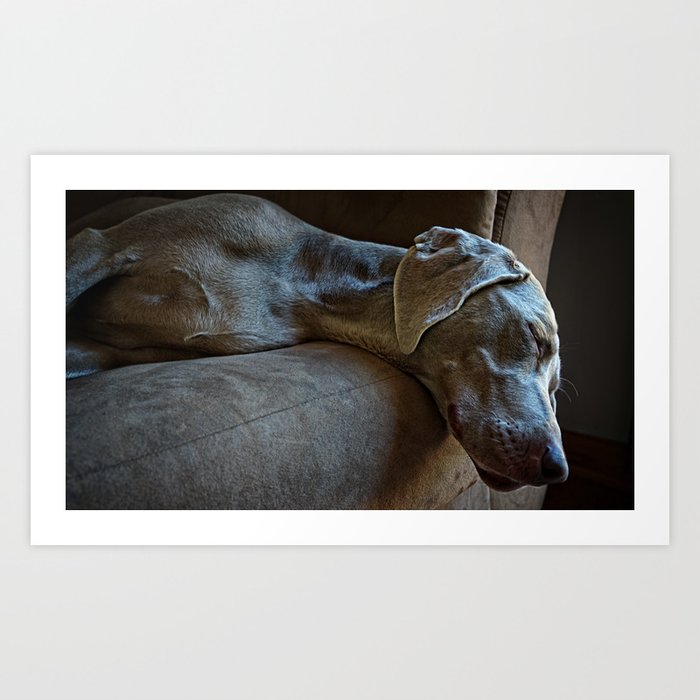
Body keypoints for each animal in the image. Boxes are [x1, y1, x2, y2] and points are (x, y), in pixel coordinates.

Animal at [65, 193, 568, 492]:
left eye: (556, 389)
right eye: (534, 339)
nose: (556, 468)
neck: (304, 284)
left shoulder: (111, 349)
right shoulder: (100, 244)